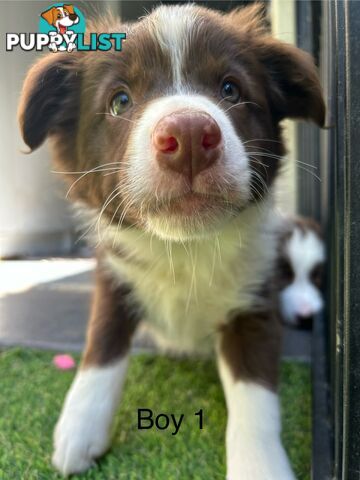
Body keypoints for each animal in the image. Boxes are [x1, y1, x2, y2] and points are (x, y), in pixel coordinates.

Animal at [18, 4, 324, 480]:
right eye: (120, 100)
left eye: (231, 89)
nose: (189, 138)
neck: (184, 247)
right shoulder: (114, 271)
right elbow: (102, 343)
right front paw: (80, 427)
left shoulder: (254, 296)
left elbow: (254, 392)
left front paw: (259, 466)